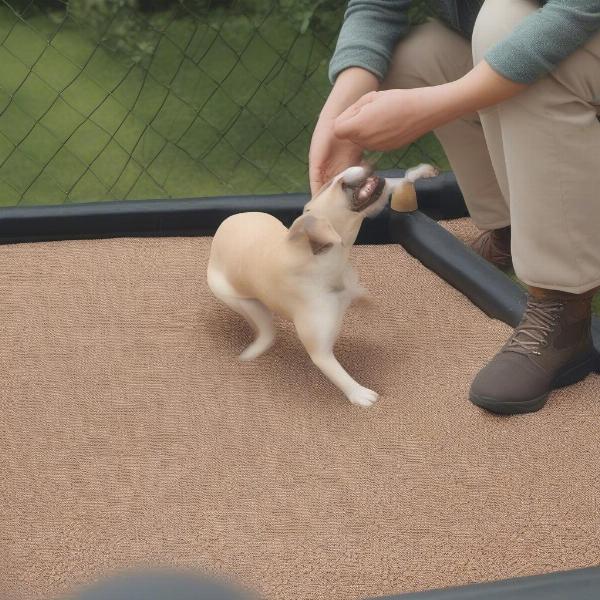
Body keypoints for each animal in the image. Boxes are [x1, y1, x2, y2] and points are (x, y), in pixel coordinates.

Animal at [209, 165, 438, 408]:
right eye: (330, 184)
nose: (354, 166)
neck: (324, 260)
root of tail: (224, 226)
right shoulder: (320, 349)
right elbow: (336, 371)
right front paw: (359, 394)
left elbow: (361, 295)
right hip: (246, 303)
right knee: (267, 331)